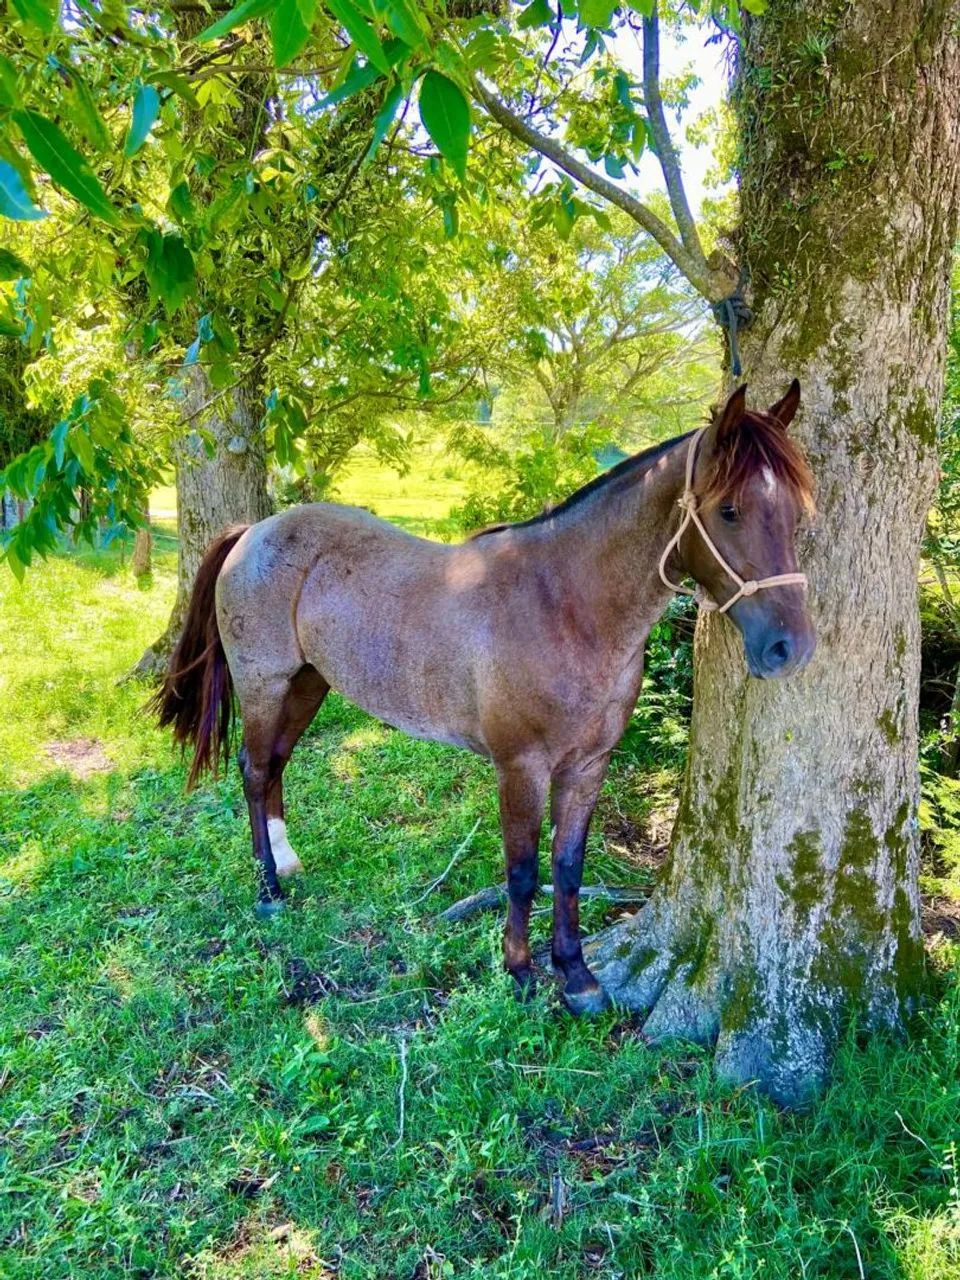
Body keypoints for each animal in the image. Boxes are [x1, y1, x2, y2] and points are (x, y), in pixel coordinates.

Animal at [155, 381, 815, 1014]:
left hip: (309, 683)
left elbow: (567, 868)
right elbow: (523, 871)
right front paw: (520, 971)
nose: (791, 647)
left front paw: (576, 977)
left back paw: (286, 862)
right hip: (265, 684)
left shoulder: (587, 767)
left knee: (276, 766)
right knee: (254, 768)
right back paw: (269, 890)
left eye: (796, 512)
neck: (564, 605)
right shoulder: (520, 768)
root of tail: (254, 532)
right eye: (728, 510)